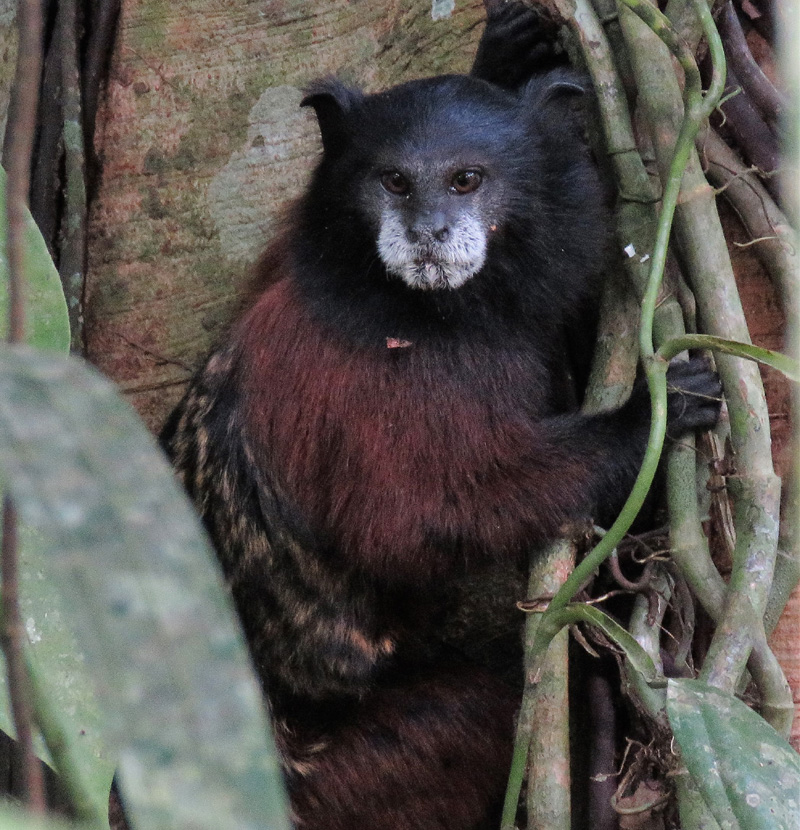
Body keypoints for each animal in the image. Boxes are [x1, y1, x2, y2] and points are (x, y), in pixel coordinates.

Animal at [161, 4, 720, 824]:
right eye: (395, 181)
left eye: (466, 179)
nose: (427, 231)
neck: (404, 301)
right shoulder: (402, 380)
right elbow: (416, 521)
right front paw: (647, 420)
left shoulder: (295, 255)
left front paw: (501, 54)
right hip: (364, 777)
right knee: (482, 706)